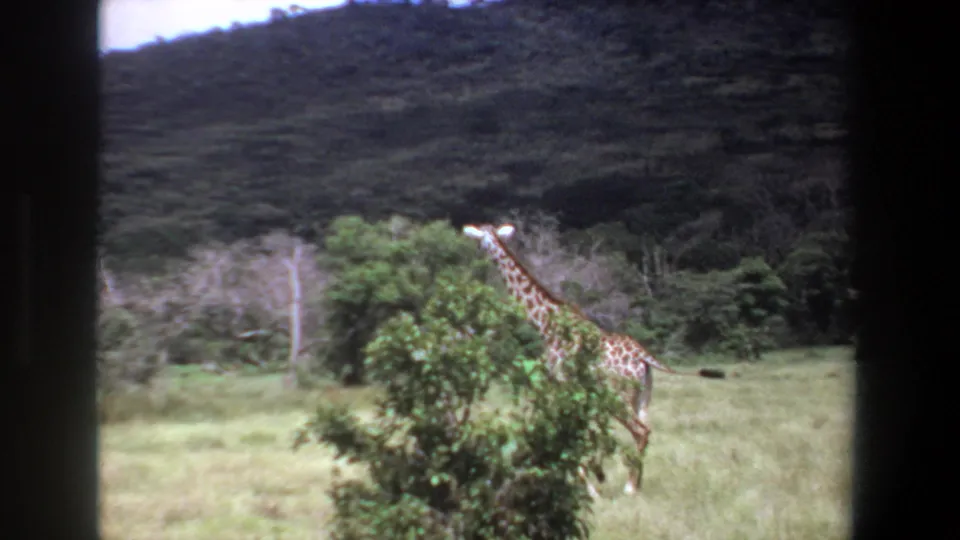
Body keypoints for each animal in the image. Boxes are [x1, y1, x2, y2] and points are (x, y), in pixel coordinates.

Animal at [462, 223, 725, 497]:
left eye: (480, 239)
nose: (476, 253)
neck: (546, 323)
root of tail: (645, 357)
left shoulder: (560, 380)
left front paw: (589, 488)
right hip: (643, 396)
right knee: (646, 430)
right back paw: (637, 485)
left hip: (618, 395)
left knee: (640, 431)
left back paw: (629, 487)